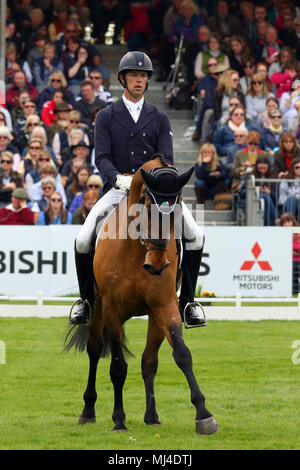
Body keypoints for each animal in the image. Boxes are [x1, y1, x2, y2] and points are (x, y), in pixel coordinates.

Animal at [65, 156, 218, 436]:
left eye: (177, 208)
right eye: (146, 206)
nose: (157, 265)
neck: (136, 249)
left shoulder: (163, 306)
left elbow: (180, 355)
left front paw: (203, 415)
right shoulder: (112, 310)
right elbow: (117, 367)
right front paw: (119, 420)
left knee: (148, 360)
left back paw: (151, 416)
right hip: (98, 309)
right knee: (94, 351)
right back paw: (88, 411)